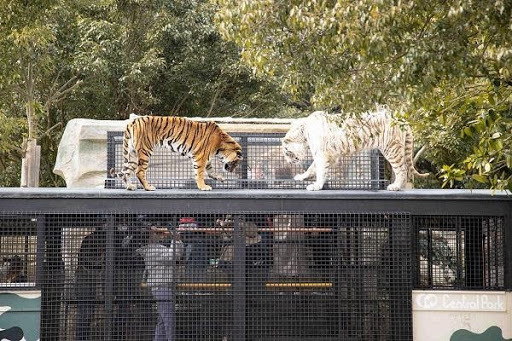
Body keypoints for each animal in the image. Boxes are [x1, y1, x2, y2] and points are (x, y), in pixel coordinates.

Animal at [111, 115, 243, 190]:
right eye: (236, 162)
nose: (232, 171)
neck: (221, 146)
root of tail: (132, 122)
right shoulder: (200, 157)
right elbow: (200, 173)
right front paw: (203, 187)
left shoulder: (206, 159)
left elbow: (211, 171)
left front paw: (220, 178)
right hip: (145, 151)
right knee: (139, 171)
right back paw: (149, 187)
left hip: (132, 154)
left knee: (126, 172)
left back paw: (130, 187)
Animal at [282, 106, 430, 190]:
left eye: (287, 152)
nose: (289, 162)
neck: (304, 132)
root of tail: (400, 118)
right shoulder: (330, 156)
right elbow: (311, 168)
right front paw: (301, 177)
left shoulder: (321, 155)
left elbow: (319, 171)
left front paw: (316, 186)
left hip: (391, 148)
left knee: (402, 169)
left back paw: (395, 187)